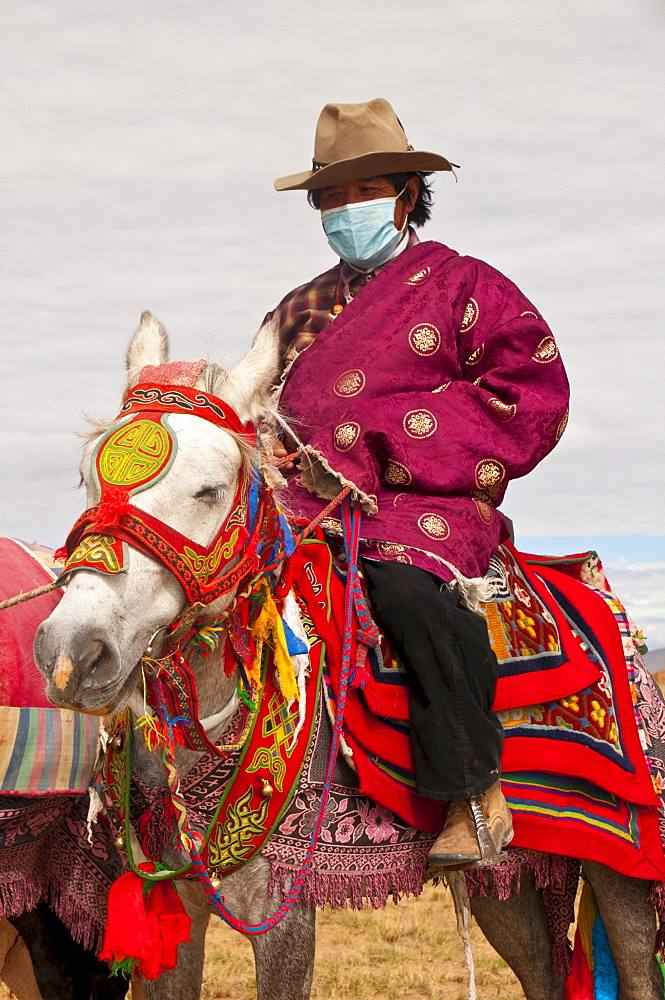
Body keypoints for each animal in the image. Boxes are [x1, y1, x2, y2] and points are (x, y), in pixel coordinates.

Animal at [35, 314, 660, 1000]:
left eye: (209, 490)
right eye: (88, 479)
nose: (72, 652)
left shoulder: (281, 911)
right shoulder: (176, 906)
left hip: (624, 867)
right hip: (510, 881)